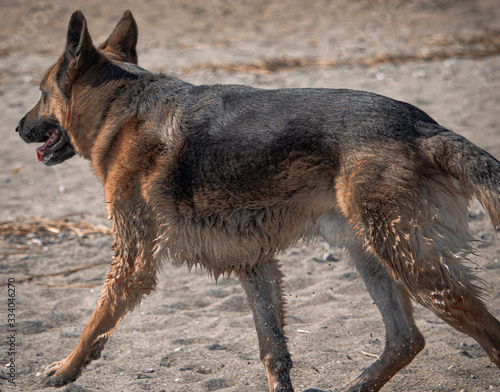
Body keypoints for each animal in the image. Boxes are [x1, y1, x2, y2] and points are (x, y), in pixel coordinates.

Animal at [14, 9, 500, 392]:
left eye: (40, 93)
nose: (18, 127)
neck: (122, 106)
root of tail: (425, 128)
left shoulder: (131, 264)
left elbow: (94, 321)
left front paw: (66, 368)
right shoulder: (255, 263)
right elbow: (273, 351)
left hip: (407, 260)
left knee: (485, 333)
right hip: (370, 251)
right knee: (405, 340)